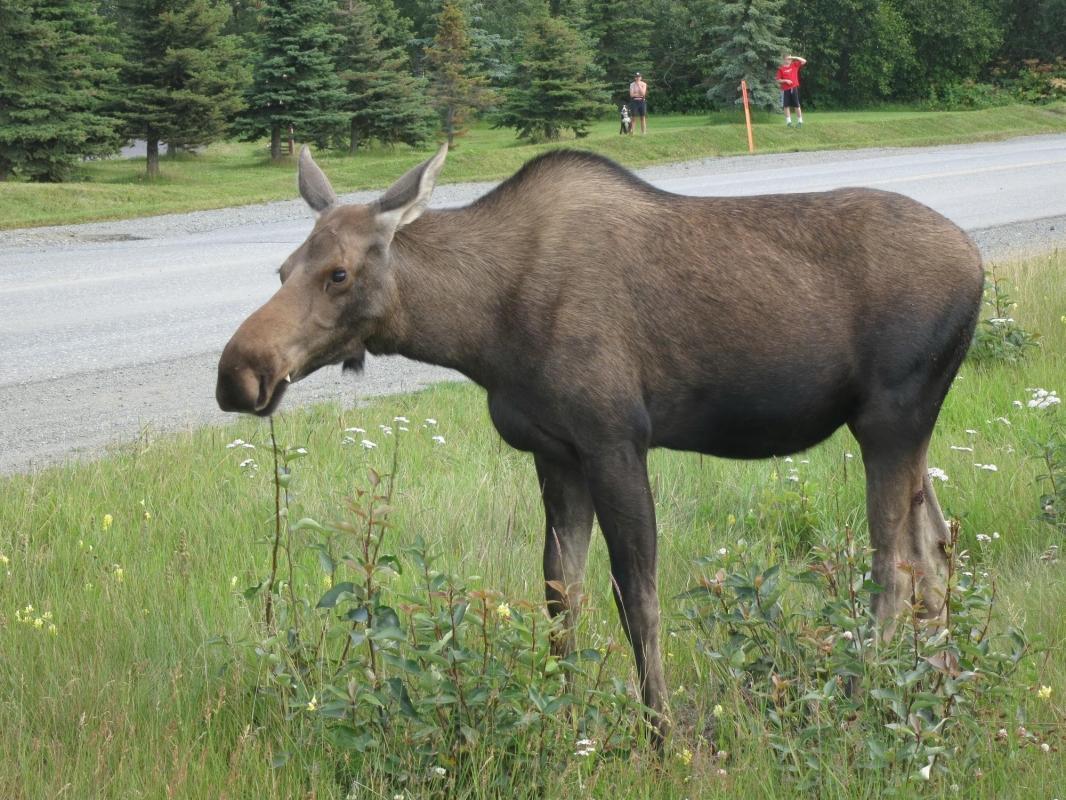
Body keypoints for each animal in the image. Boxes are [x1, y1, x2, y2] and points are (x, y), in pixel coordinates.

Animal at [214, 144, 980, 746]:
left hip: (891, 416)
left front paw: (661, 733)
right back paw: (937, 695)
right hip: (902, 423)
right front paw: (562, 712)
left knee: (896, 566)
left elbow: (636, 598)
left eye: (338, 273)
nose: (237, 373)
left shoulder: (615, 438)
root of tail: (978, 264)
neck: (477, 332)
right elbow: (562, 591)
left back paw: (855, 704)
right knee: (937, 548)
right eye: (282, 269)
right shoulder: (554, 451)